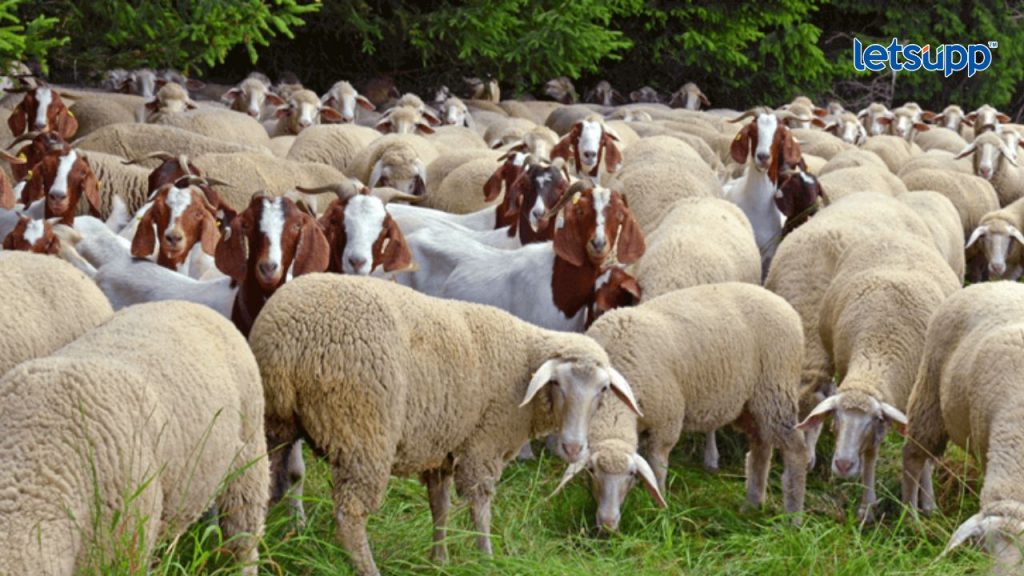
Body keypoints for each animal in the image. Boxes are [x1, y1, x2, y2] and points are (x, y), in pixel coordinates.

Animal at [248, 273, 640, 575]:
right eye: (558, 384)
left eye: (603, 390)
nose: (573, 447)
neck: (525, 359)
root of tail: (287, 345)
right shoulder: (483, 446)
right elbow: (480, 508)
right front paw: (486, 558)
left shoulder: (443, 448)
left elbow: (441, 507)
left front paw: (439, 558)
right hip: (362, 431)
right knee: (349, 516)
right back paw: (368, 568)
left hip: (274, 425)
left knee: (266, 489)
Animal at [557, 282, 807, 530]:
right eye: (592, 471)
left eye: (631, 474)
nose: (608, 524)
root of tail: (782, 304)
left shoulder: (666, 422)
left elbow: (657, 466)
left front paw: (658, 509)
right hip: (751, 403)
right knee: (761, 447)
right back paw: (752, 505)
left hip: (776, 390)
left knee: (796, 451)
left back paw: (793, 518)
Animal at [795, 234, 960, 522]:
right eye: (836, 417)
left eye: (873, 419)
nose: (843, 465)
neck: (877, 351)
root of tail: (897, 234)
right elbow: (871, 453)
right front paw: (867, 506)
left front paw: (925, 502)